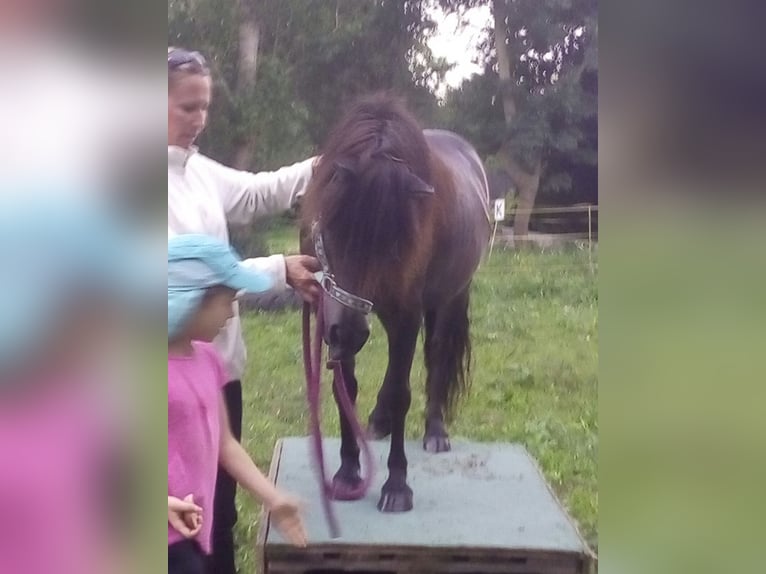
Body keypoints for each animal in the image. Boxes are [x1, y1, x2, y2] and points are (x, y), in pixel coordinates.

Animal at [300, 93, 490, 513]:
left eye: (393, 242)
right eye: (333, 227)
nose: (346, 333)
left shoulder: (406, 315)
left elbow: (402, 393)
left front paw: (397, 484)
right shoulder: (332, 315)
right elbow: (346, 387)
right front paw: (347, 472)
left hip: (448, 299)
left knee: (436, 358)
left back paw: (434, 431)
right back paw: (379, 420)